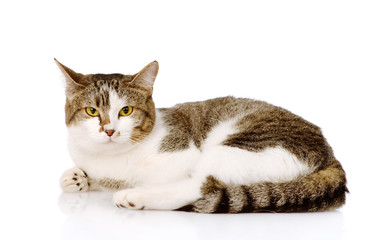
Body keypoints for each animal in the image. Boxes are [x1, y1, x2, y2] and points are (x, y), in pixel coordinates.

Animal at [57, 59, 348, 213]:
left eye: (126, 110)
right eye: (92, 111)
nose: (109, 130)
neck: (110, 159)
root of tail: (331, 154)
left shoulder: (184, 155)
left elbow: (158, 177)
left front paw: (130, 187)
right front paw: (77, 178)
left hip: (239, 145)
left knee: (201, 186)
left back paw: (134, 198)